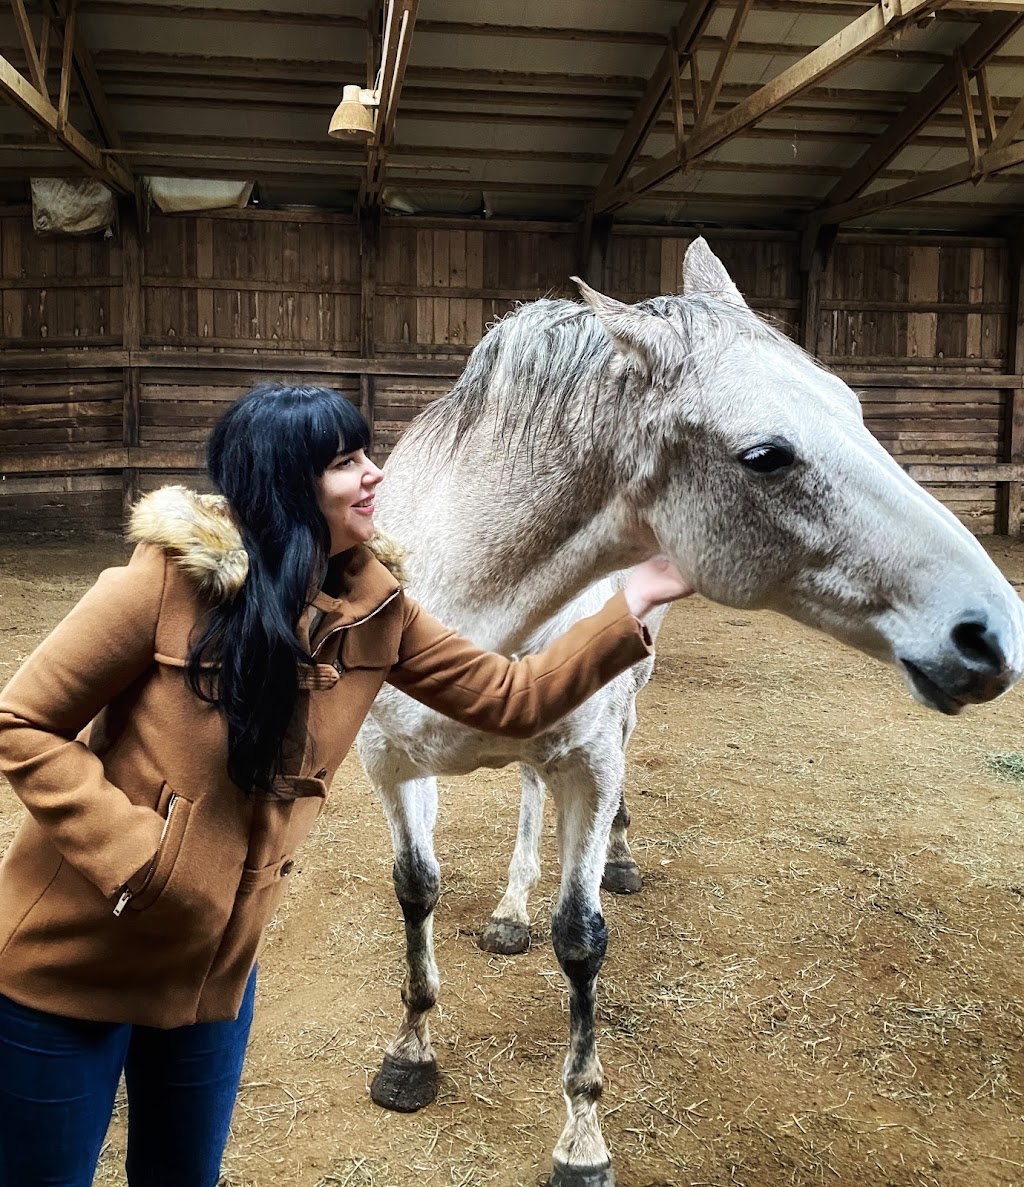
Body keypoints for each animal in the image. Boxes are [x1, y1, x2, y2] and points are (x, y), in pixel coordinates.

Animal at [353, 240, 1024, 1187]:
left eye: (852, 407)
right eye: (766, 455)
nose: (991, 633)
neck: (468, 593)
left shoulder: (591, 760)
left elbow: (580, 935)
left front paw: (582, 1139)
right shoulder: (390, 763)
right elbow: (416, 891)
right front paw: (410, 1055)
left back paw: (603, 868)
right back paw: (508, 910)